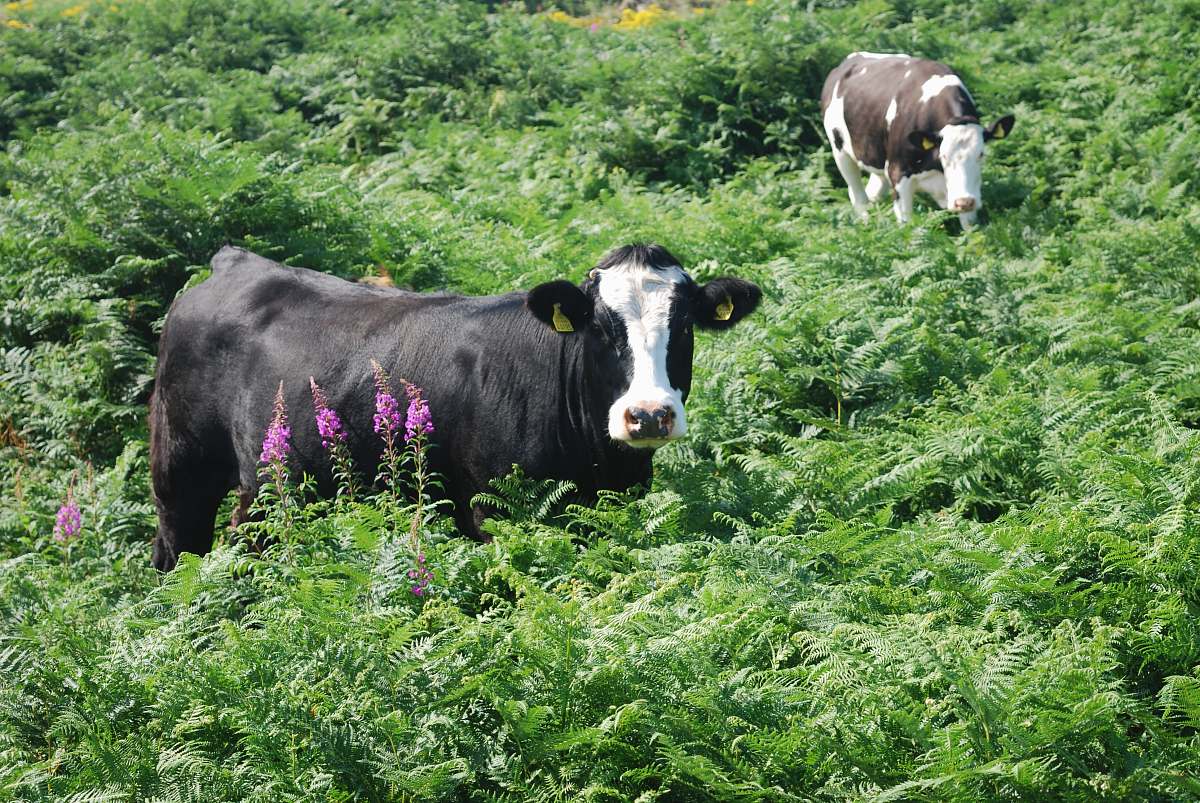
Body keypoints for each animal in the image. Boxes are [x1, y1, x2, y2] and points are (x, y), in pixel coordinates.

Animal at [147, 244, 758, 568]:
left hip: (268, 484)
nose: (648, 413)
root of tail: (236, 262)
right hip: (180, 468)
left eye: (684, 327)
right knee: (177, 552)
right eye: (602, 329)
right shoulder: (494, 508)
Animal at [816, 52, 1012, 228]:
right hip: (840, 151)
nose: (964, 202)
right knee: (857, 194)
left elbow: (970, 228)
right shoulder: (898, 173)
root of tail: (847, 61)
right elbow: (907, 227)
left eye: (981, 154)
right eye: (944, 156)